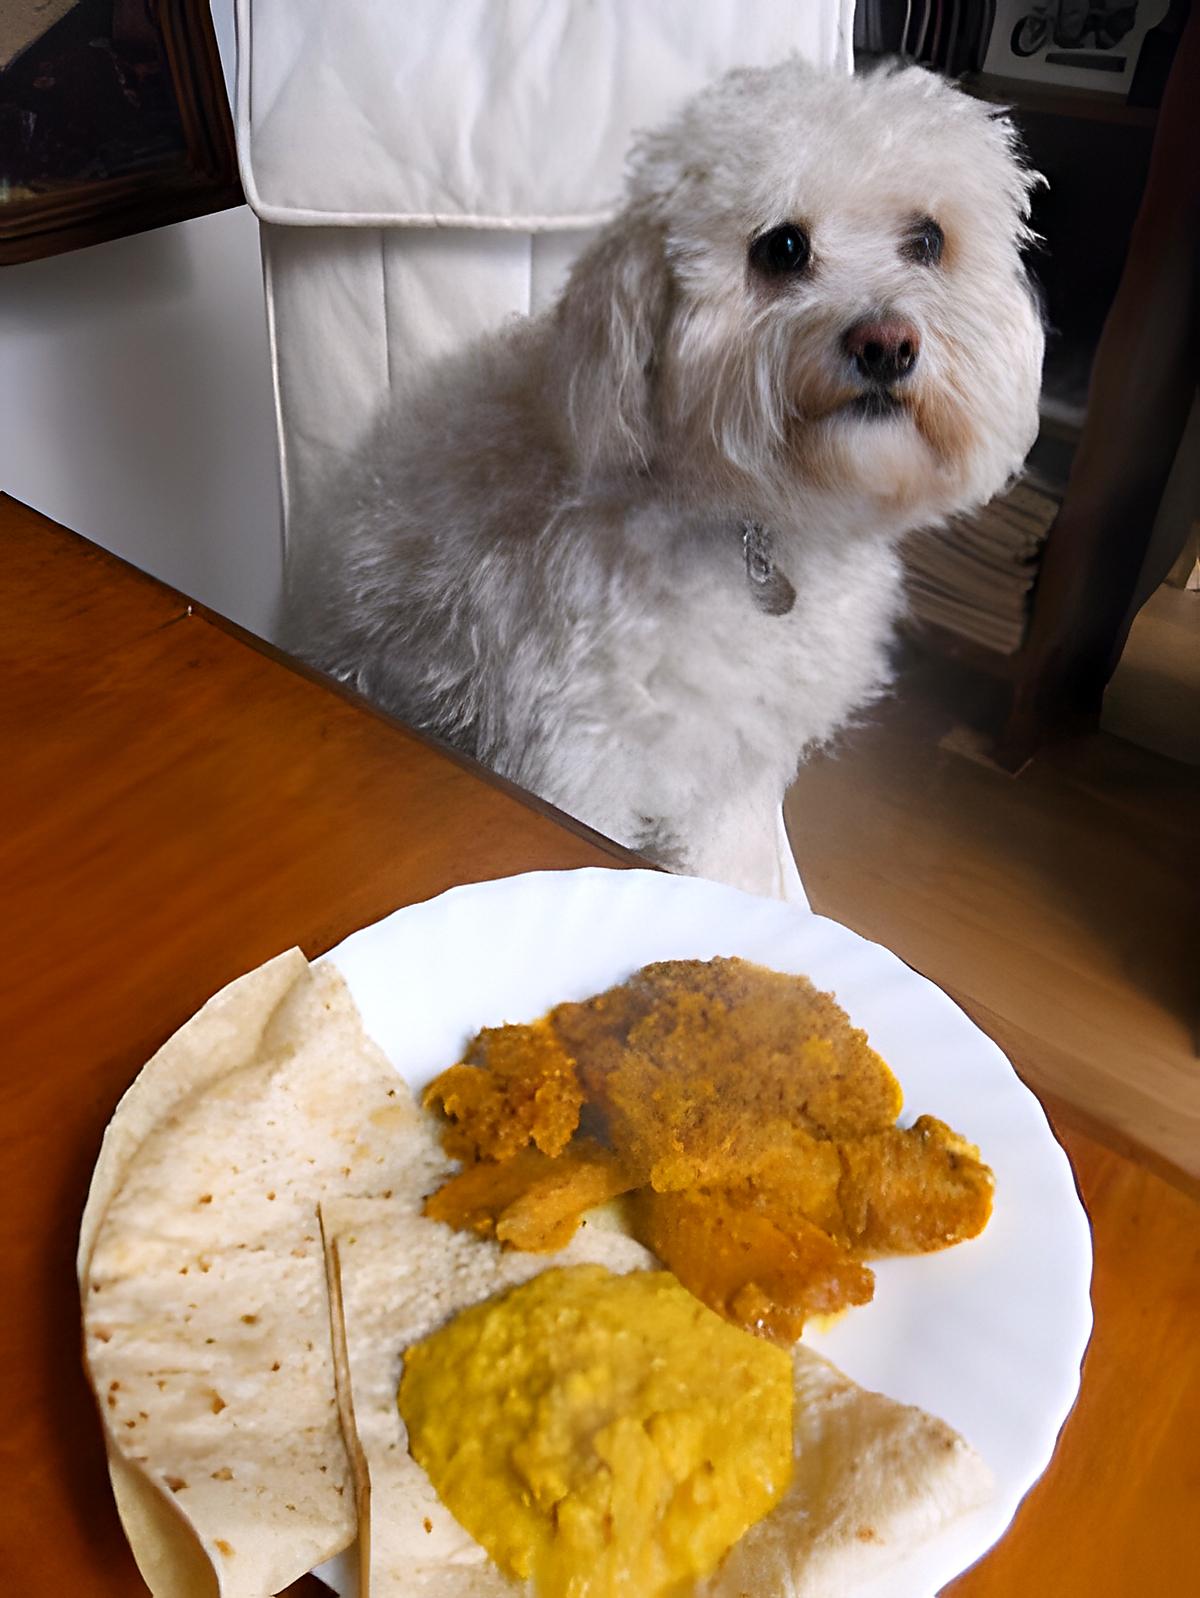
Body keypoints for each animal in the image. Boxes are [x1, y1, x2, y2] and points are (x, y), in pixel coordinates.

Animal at [289, 59, 1041, 901]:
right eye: (782, 247)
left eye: (929, 240)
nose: (887, 343)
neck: (754, 520)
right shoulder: (582, 747)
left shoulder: (733, 757)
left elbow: (722, 850)